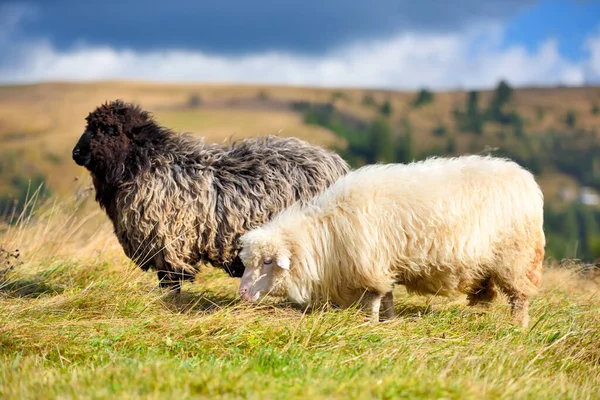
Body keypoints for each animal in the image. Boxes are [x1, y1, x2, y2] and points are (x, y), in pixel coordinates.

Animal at [237, 155, 548, 326]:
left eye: (268, 261)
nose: (242, 292)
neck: (326, 234)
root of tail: (525, 179)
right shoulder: (382, 264)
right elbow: (386, 296)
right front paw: (389, 320)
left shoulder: (370, 264)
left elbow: (374, 298)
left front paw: (371, 323)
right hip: (487, 266)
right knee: (485, 296)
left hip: (516, 257)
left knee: (519, 298)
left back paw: (517, 325)